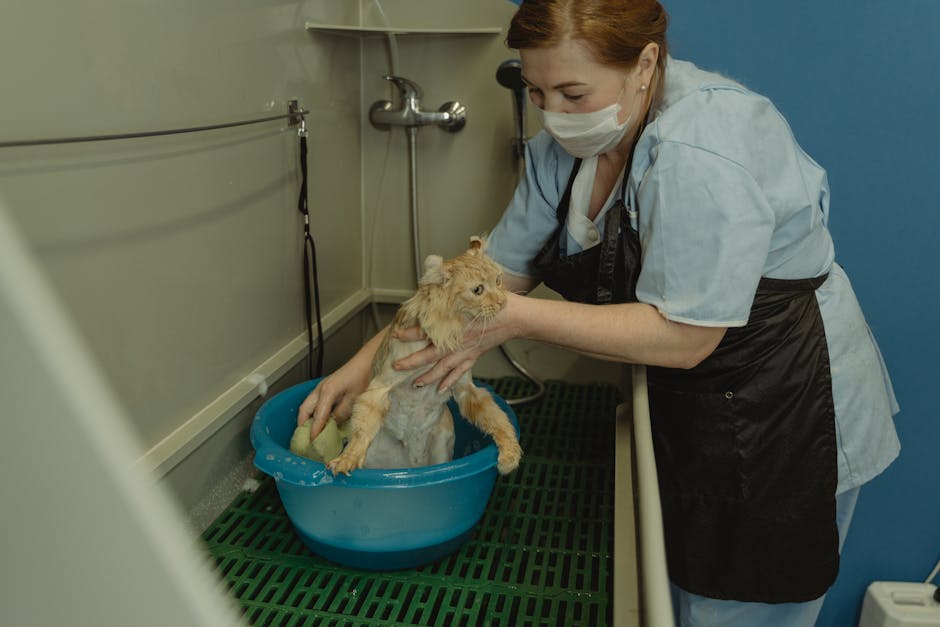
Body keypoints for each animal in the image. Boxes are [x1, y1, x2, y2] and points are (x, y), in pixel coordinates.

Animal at [326, 236, 520, 476]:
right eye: (478, 290)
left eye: (499, 280)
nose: (503, 301)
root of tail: (411, 465)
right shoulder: (379, 388)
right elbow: (361, 432)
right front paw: (348, 458)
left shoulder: (467, 389)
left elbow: (497, 418)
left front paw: (511, 451)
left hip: (441, 447)